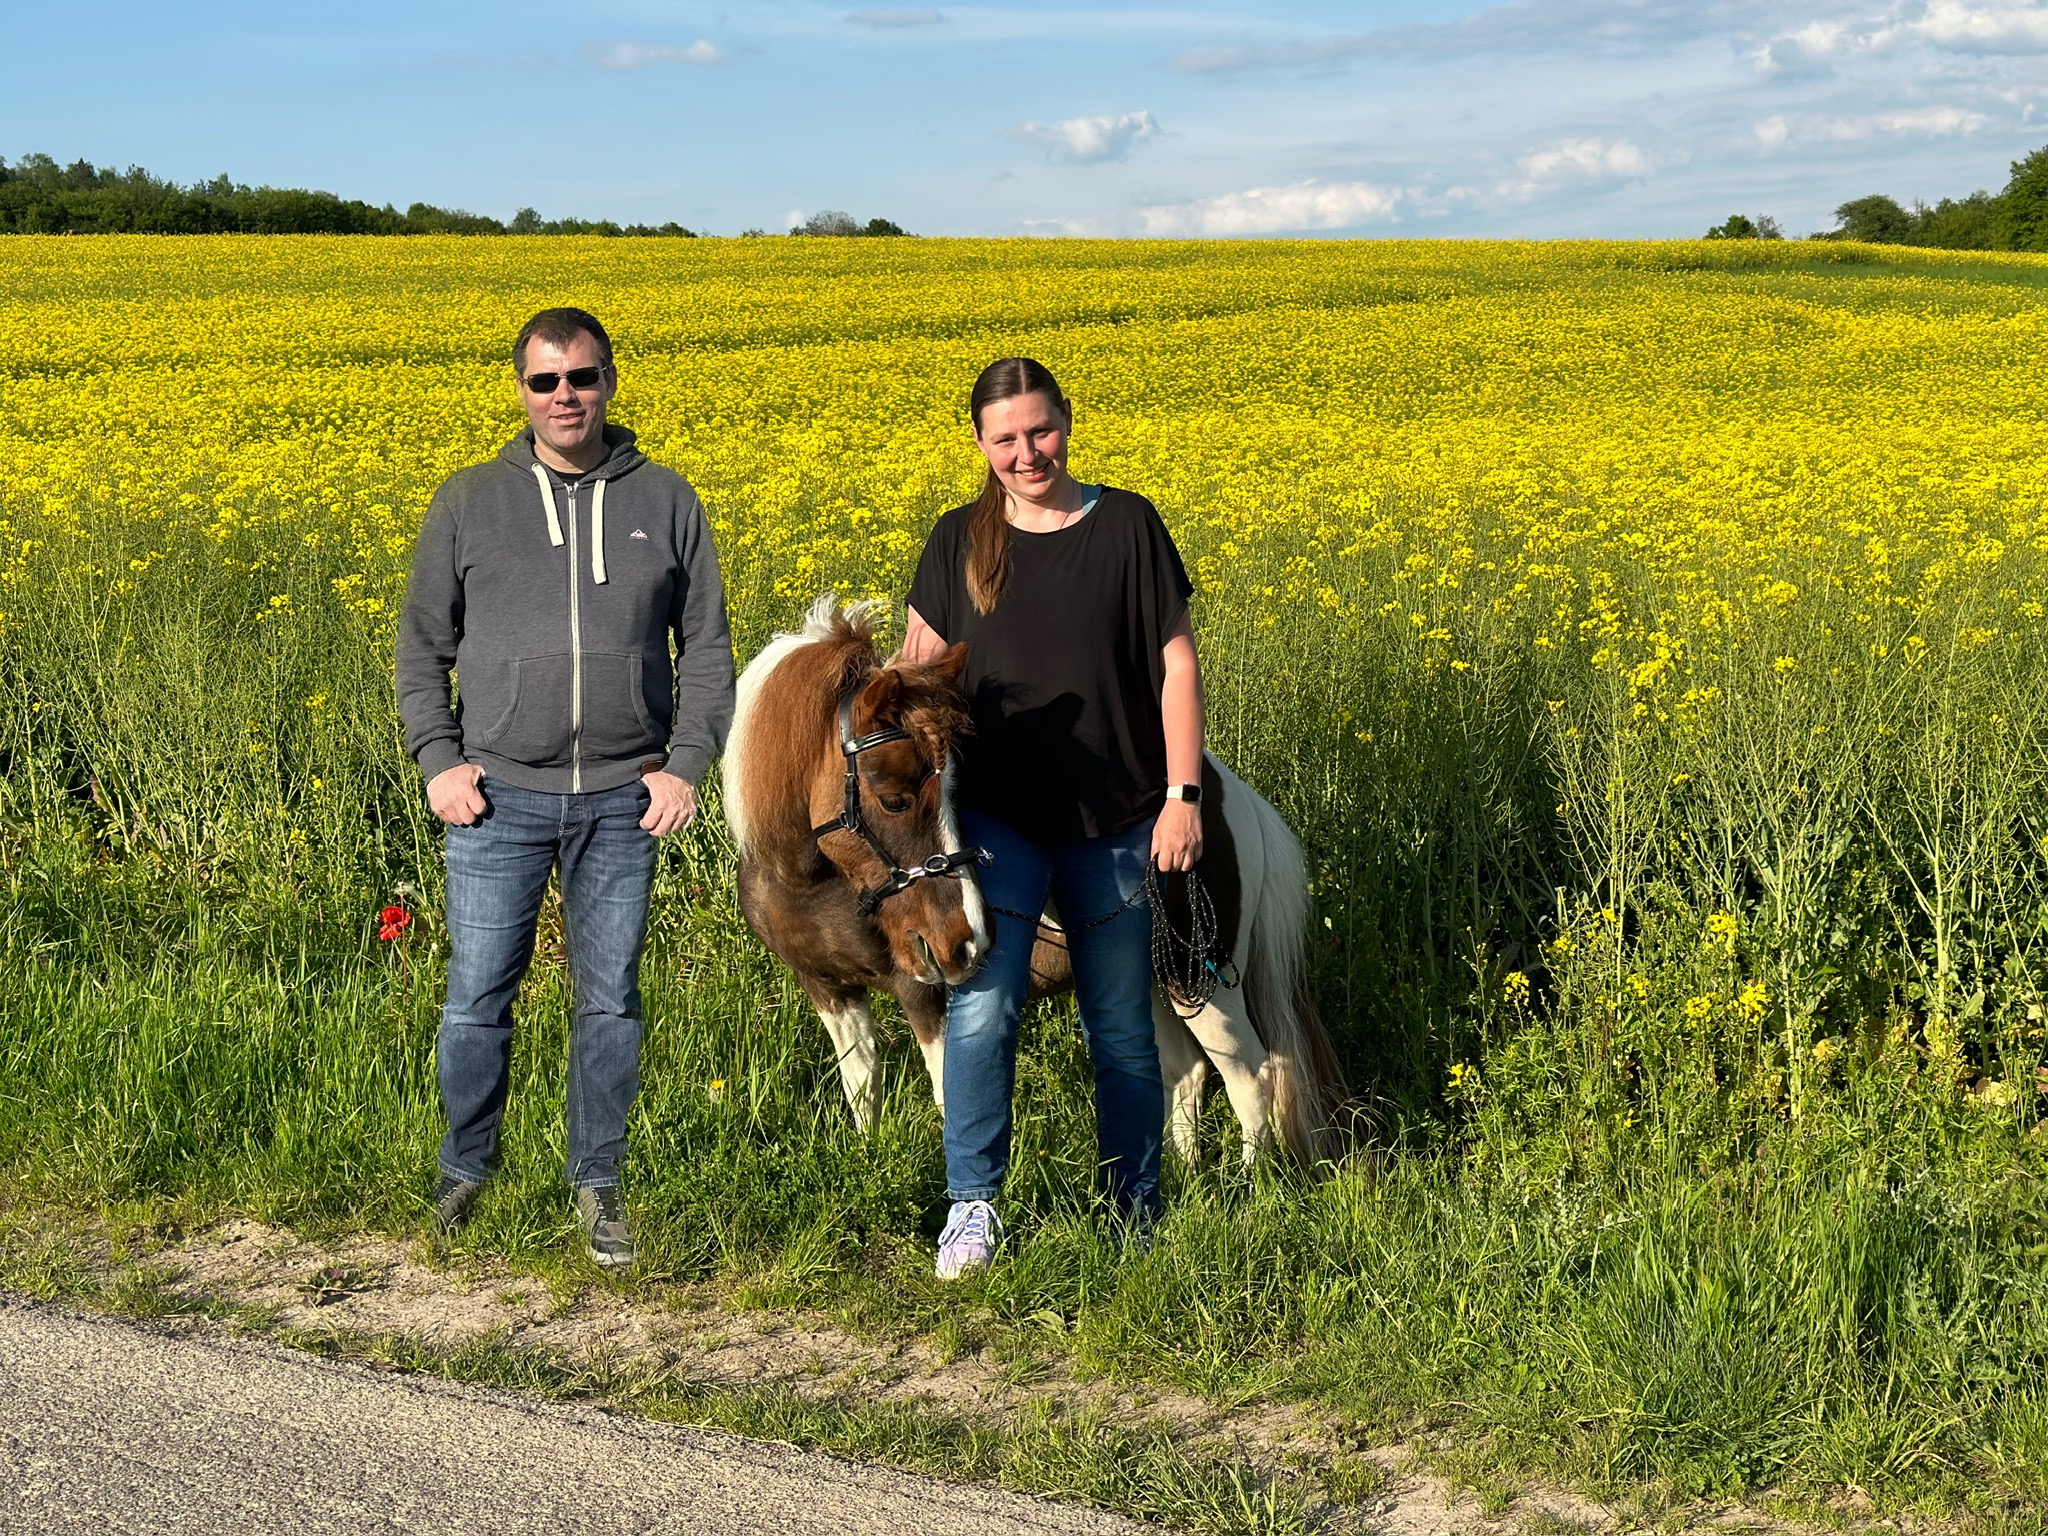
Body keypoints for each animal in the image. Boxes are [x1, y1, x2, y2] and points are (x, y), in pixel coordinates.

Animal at [722, 594, 1348, 1166]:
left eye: (957, 792)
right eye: (895, 798)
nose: (968, 941)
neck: (808, 885)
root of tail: (1226, 797)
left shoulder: (925, 994)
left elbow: (948, 1097)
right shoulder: (827, 988)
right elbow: (861, 1085)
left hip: (1202, 979)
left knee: (1252, 1076)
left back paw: (1247, 1188)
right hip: (1155, 979)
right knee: (1187, 1070)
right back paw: (1184, 1179)